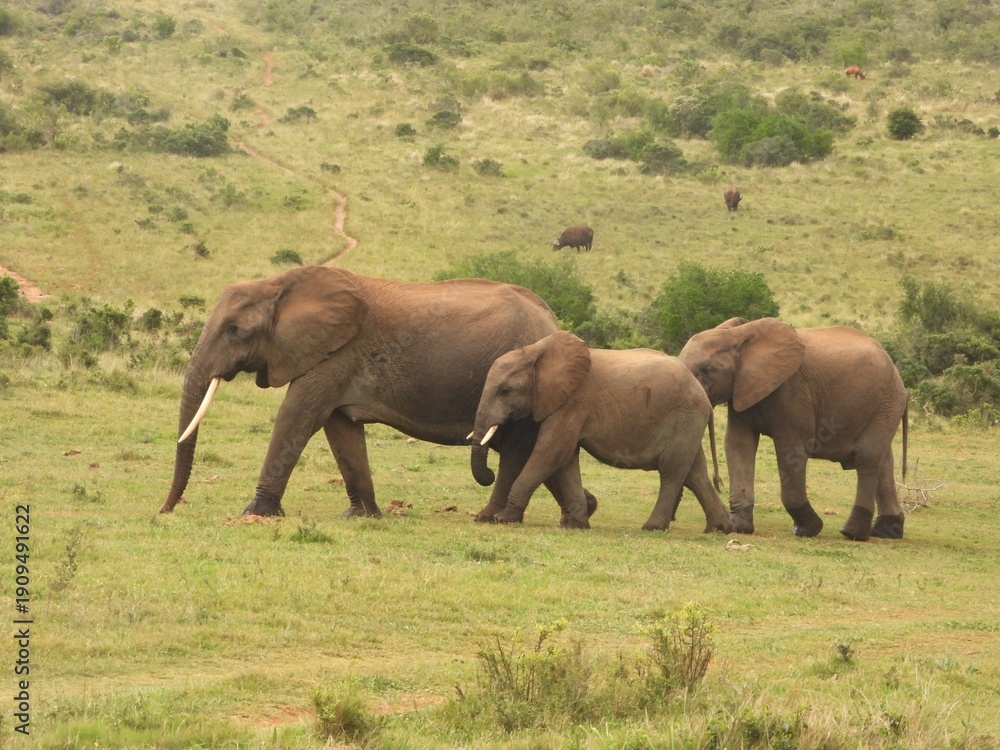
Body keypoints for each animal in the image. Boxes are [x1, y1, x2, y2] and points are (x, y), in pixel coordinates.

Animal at [159, 265, 598, 522]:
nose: (165, 511)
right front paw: (363, 517)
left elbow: (298, 417)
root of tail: (551, 318)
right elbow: (341, 431)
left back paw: (492, 517)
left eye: (234, 330)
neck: (279, 283)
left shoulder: (335, 353)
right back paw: (586, 508)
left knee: (516, 449)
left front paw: (258, 513)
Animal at [468, 331, 732, 533]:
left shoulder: (572, 402)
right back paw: (720, 528)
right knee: (694, 472)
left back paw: (653, 527)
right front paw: (575, 525)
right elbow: (566, 460)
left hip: (684, 417)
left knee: (672, 471)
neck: (538, 350)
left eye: (504, 391)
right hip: (688, 423)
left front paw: (503, 519)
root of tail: (704, 396)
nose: (489, 473)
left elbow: (550, 453)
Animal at [677, 317, 909, 541]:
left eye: (707, 371)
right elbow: (738, 444)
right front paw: (739, 528)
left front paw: (806, 529)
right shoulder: (741, 390)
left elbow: (791, 449)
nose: (719, 483)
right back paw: (887, 531)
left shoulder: (793, 391)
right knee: (884, 460)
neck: (738, 334)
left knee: (867, 456)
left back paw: (852, 533)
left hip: (887, 400)